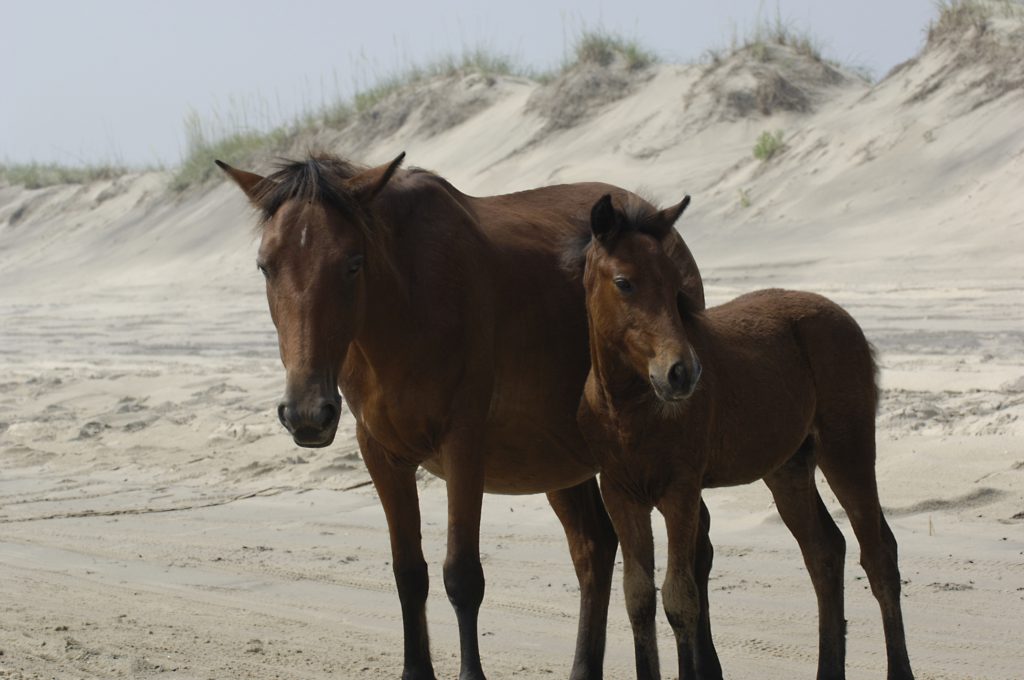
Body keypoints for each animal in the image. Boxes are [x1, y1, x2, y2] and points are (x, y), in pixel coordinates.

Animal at [217, 153, 708, 680]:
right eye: (265, 266)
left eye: (352, 263)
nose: (307, 413)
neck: (407, 310)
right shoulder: (382, 455)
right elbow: (408, 573)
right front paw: (415, 671)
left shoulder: (464, 446)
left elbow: (462, 576)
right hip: (558, 458)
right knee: (594, 548)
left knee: (694, 551)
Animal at [573, 195, 917, 680]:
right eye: (624, 282)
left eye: (674, 285)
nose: (682, 373)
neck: (628, 407)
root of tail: (844, 317)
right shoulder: (621, 493)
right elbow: (638, 597)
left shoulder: (681, 490)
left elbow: (679, 598)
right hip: (789, 468)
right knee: (825, 552)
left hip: (847, 449)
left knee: (879, 555)